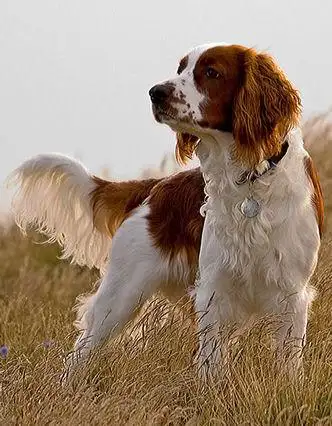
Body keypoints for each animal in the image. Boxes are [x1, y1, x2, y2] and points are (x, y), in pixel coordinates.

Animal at [8, 43, 324, 378]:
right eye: (180, 68)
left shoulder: (291, 294)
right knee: (81, 353)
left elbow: (288, 364)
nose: (155, 92)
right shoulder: (214, 291)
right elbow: (211, 363)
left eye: (211, 72)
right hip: (120, 296)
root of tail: (154, 188)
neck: (248, 178)